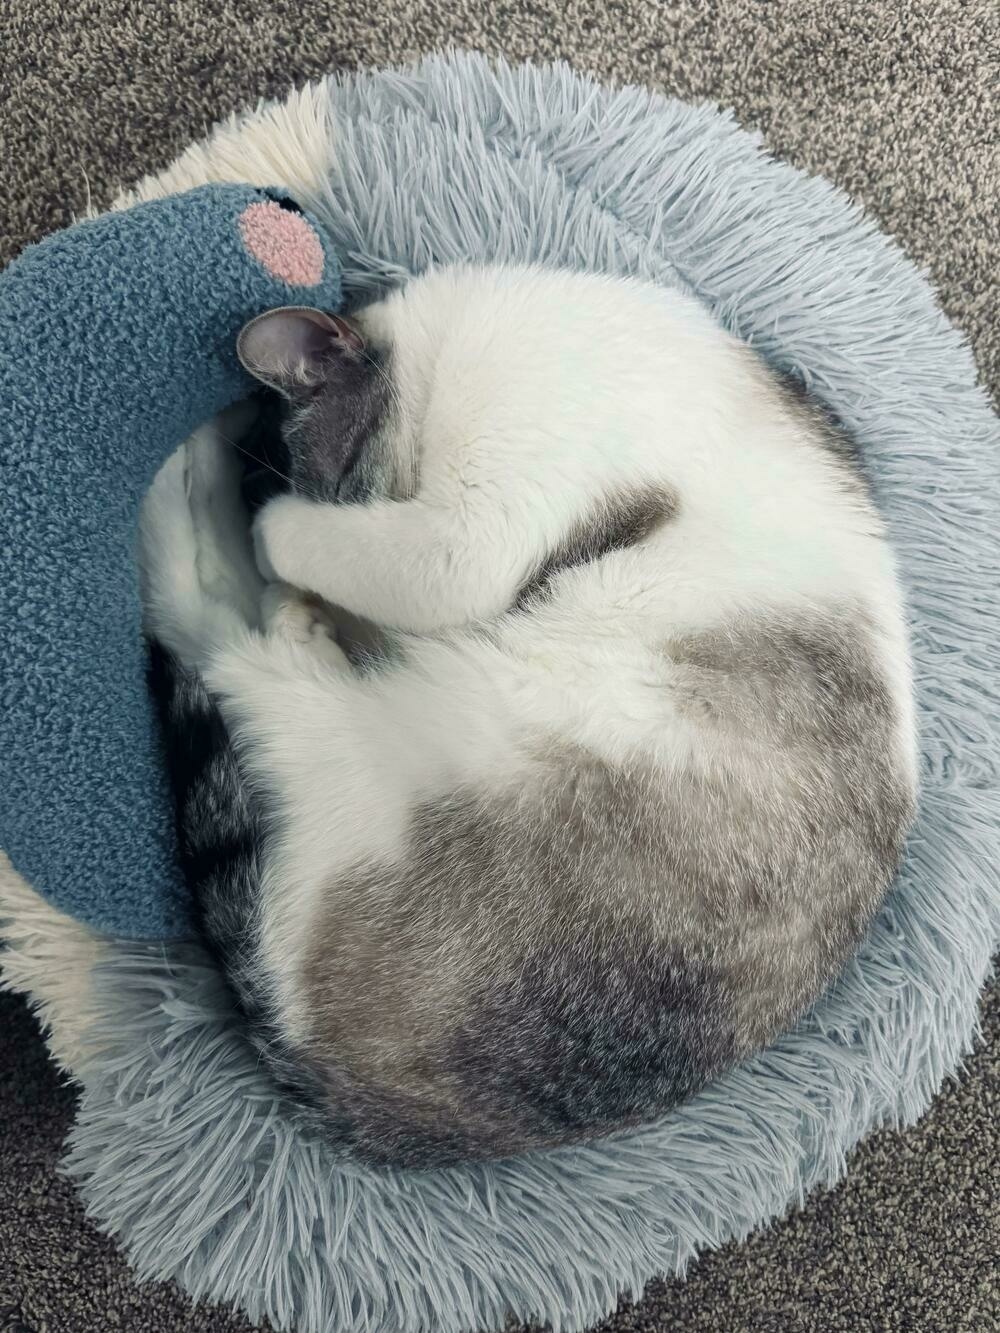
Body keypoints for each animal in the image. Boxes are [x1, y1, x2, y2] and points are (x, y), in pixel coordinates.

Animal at [137, 262, 922, 1167]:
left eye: (335, 489)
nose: (349, 625)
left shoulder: (469, 533)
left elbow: (304, 541)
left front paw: (279, 547)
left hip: (397, 735)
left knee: (216, 636)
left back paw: (187, 494)